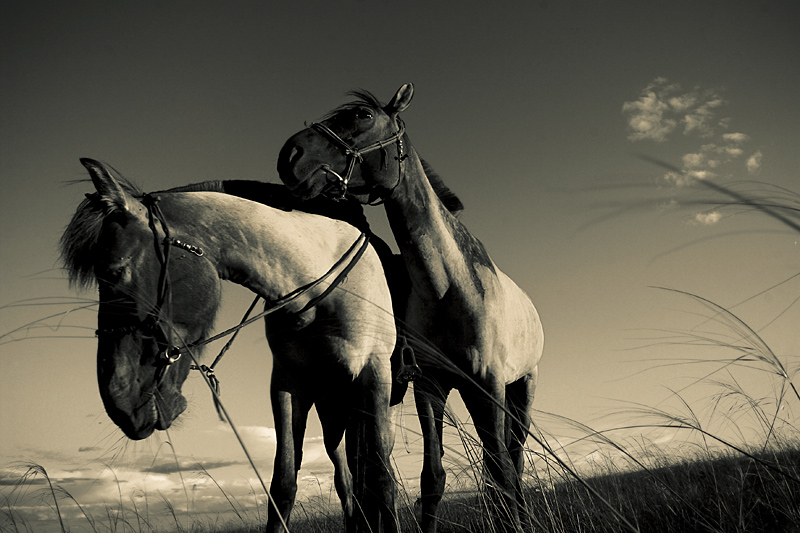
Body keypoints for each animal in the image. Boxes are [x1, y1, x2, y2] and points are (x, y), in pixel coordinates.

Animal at [59, 158, 400, 532]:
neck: (316, 288)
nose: (121, 404)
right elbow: (284, 484)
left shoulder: (373, 374)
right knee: (348, 480)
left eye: (115, 272)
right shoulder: (288, 385)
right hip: (333, 413)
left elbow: (382, 480)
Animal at [278, 85, 548, 528]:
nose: (290, 155)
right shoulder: (430, 387)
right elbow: (432, 478)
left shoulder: (486, 384)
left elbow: (501, 469)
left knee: (513, 456)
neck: (448, 288)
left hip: (522, 387)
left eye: (363, 116)